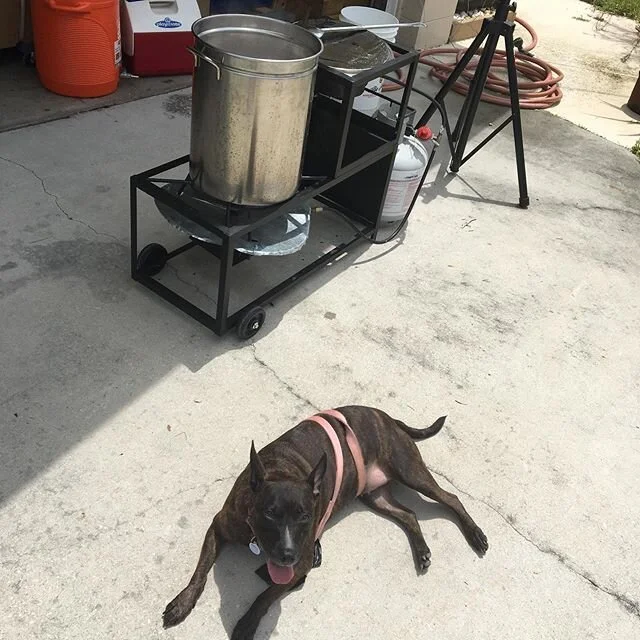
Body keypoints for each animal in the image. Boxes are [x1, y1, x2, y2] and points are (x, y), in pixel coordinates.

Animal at [162, 408, 488, 636]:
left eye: (305, 516)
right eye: (270, 513)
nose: (287, 554)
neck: (281, 471)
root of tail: (386, 416)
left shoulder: (302, 563)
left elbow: (265, 596)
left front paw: (246, 624)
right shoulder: (219, 526)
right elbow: (200, 573)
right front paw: (182, 603)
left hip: (410, 471)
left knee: (451, 498)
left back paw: (476, 535)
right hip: (374, 496)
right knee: (409, 514)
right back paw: (421, 552)